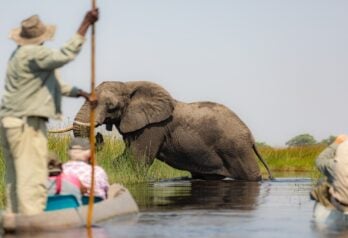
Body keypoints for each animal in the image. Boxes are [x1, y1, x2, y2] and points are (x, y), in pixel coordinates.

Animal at [55, 81, 272, 181]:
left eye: (111, 105)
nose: (99, 135)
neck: (129, 84)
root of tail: (251, 136)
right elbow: (125, 158)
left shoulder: (152, 128)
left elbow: (137, 160)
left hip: (236, 149)